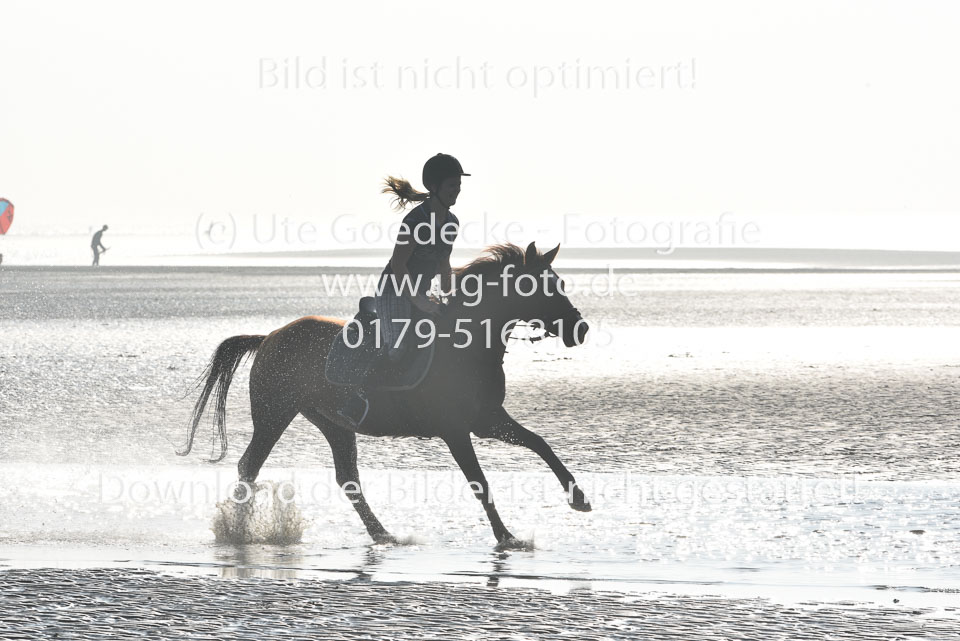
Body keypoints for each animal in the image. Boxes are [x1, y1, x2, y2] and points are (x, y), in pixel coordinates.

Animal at [176, 242, 588, 548]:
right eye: (543, 287)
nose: (579, 328)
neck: (466, 344)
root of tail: (269, 337)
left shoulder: (488, 421)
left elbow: (540, 443)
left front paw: (579, 498)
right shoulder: (456, 431)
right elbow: (480, 483)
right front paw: (506, 536)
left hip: (331, 422)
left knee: (347, 478)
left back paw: (383, 533)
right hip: (274, 414)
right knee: (250, 465)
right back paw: (237, 530)